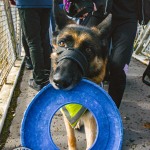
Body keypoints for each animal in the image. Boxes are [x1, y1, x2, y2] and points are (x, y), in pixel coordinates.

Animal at [50, 0, 111, 149]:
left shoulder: (91, 119)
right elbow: (71, 137)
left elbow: (91, 139)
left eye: (88, 50)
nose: (60, 81)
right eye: (62, 43)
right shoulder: (66, 114)